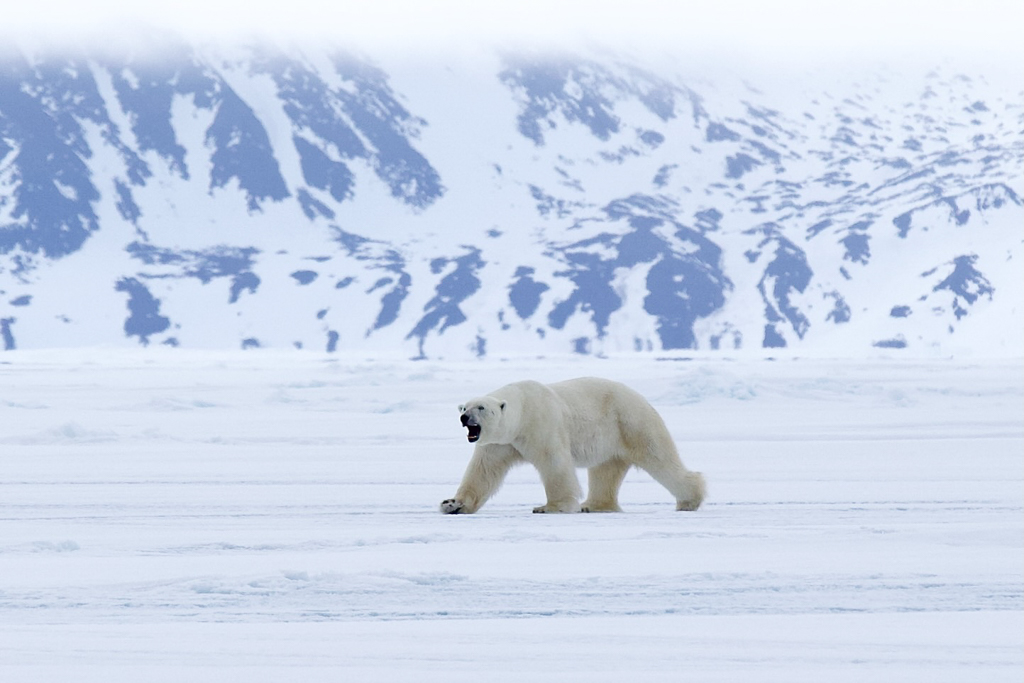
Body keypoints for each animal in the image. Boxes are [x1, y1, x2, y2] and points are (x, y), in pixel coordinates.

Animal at [440, 377, 705, 514]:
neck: (522, 410)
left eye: (482, 407)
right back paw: (594, 505)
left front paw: (550, 507)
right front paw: (452, 504)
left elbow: (554, 463)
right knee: (605, 471)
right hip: (611, 440)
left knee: (659, 458)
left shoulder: (540, 423)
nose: (464, 417)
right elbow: (483, 471)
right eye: (465, 407)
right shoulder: (499, 443)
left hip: (631, 422)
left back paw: (689, 500)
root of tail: (641, 397)